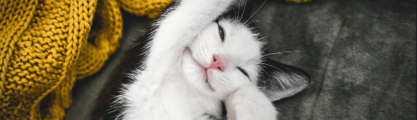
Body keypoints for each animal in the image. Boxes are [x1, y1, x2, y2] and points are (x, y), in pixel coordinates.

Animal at [91, 0, 310, 119]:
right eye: (221, 33)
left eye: (243, 71)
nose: (217, 62)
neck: (187, 90)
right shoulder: (140, 71)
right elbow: (189, 13)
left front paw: (251, 101)